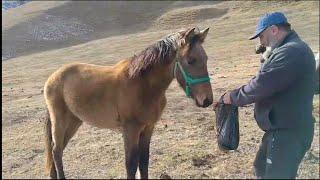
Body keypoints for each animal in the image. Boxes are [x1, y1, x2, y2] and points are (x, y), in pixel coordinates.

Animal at [43, 26, 212, 179]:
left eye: (206, 59)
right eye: (190, 60)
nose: (207, 100)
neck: (142, 85)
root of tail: (53, 77)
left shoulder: (148, 128)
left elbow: (143, 162)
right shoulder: (130, 130)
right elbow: (131, 165)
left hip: (74, 121)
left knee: (58, 149)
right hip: (60, 121)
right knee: (56, 150)